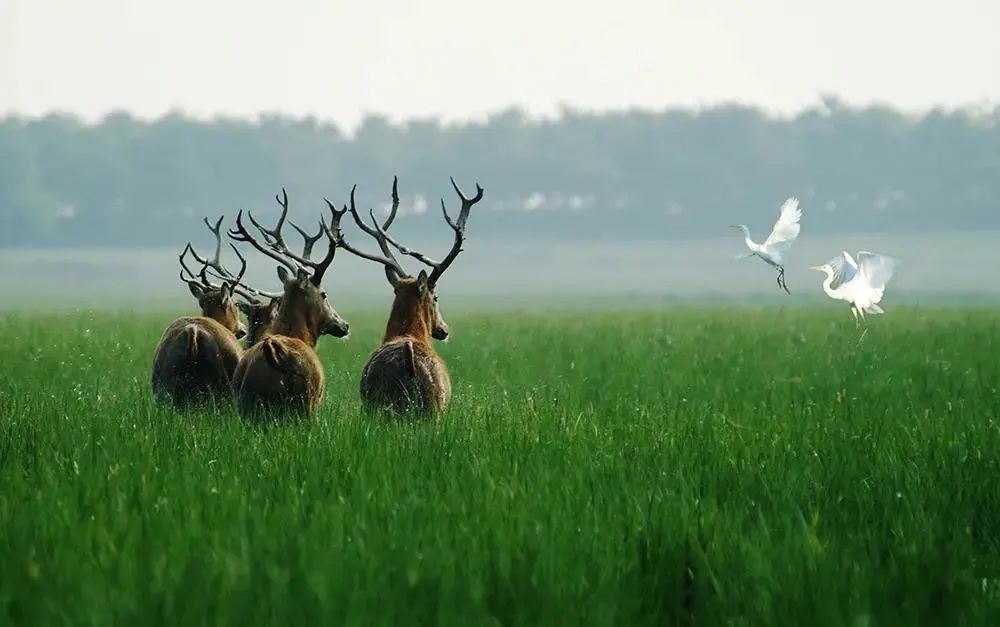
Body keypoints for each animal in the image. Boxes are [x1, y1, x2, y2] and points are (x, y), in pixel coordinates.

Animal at [229, 189, 354, 420]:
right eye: (324, 294)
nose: (344, 324)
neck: (300, 335)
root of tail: (275, 352)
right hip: (305, 402)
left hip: (248, 404)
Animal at [336, 177, 484, 418]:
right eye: (436, 297)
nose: (444, 329)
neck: (409, 333)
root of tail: (409, 361)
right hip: (429, 407)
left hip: (379, 406)